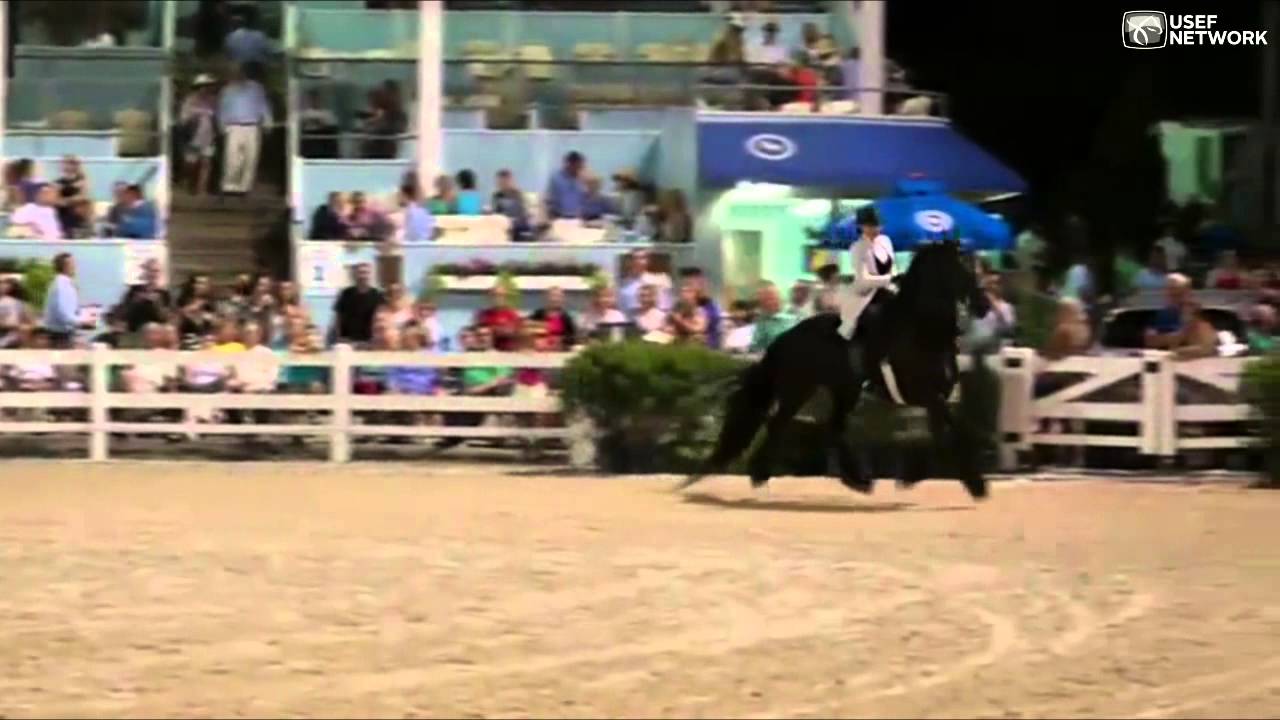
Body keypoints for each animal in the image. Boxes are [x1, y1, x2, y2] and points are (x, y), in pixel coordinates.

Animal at [681, 240, 992, 500]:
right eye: (961, 268)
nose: (984, 306)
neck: (923, 331)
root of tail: (786, 336)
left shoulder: (937, 397)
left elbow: (944, 435)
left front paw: (920, 479)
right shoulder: (926, 395)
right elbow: (952, 434)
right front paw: (975, 485)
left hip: (842, 391)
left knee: (831, 428)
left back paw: (856, 481)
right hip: (800, 389)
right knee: (782, 424)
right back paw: (765, 476)